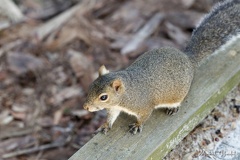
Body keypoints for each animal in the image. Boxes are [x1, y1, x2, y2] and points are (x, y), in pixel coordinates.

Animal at [83, 0, 240, 134]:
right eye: (91, 86)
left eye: (103, 97)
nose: (86, 107)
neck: (127, 93)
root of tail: (187, 58)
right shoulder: (114, 107)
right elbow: (111, 117)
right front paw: (105, 125)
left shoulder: (143, 106)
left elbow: (144, 117)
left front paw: (137, 125)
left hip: (178, 93)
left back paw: (174, 108)